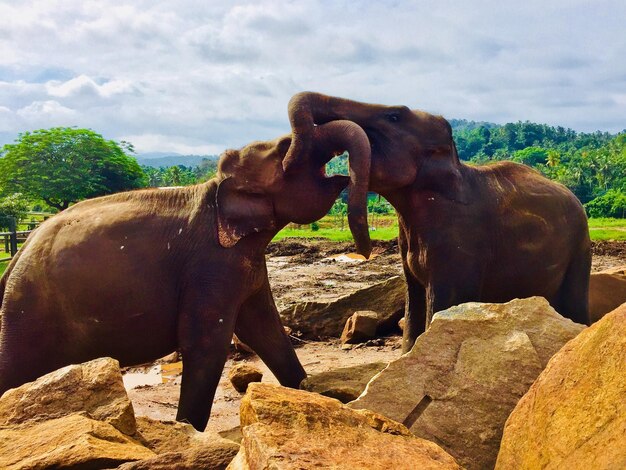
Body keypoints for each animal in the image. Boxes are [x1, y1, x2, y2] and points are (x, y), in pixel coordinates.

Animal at [0, 108, 370, 432]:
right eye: (285, 150)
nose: (364, 251)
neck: (215, 188)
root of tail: (18, 254)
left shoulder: (243, 264)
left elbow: (267, 332)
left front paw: (317, 398)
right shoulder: (209, 265)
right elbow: (206, 346)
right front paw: (189, 431)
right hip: (28, 315)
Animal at [286, 92, 588, 352]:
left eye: (393, 116)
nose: (287, 163)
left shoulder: (459, 241)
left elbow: (441, 304)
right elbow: (413, 303)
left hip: (580, 246)